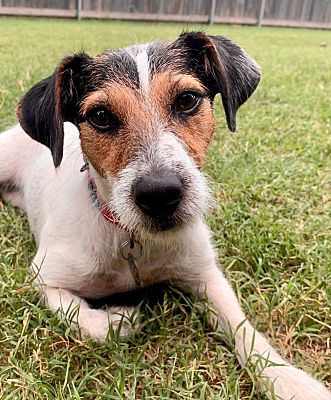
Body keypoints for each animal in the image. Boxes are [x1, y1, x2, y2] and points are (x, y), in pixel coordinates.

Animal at [0, 32, 330, 400]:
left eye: (187, 100)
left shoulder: (206, 275)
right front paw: (116, 320)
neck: (133, 239)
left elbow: (244, 329)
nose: (159, 194)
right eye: (100, 115)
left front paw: (289, 380)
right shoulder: (44, 278)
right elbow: (79, 315)